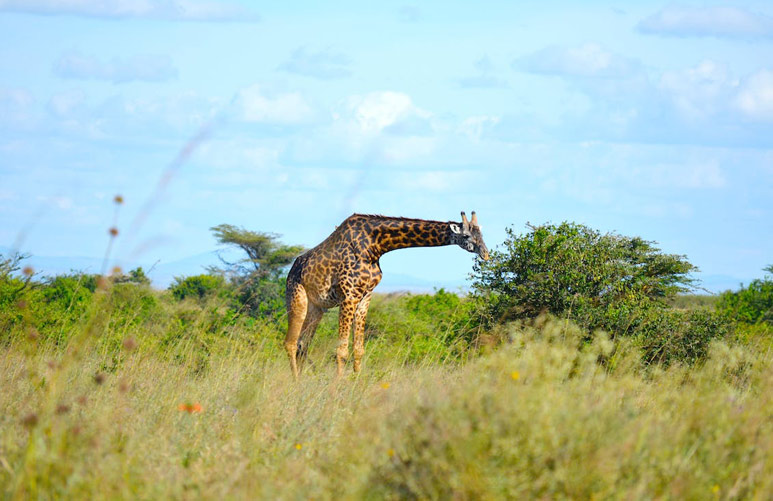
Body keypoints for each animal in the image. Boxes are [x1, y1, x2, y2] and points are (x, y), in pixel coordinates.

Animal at [284, 209, 488, 376]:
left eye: (481, 233)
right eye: (467, 236)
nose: (486, 254)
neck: (376, 246)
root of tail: (291, 270)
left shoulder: (365, 296)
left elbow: (359, 350)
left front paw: (356, 385)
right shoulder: (349, 296)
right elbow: (341, 351)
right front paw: (337, 391)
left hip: (317, 308)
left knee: (302, 345)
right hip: (297, 298)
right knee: (290, 343)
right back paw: (295, 384)